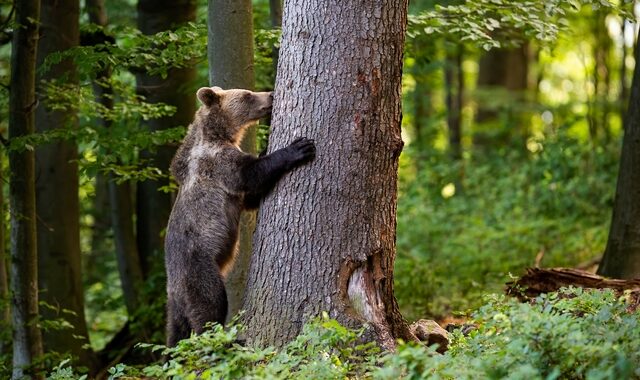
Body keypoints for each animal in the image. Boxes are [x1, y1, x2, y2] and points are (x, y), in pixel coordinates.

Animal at [165, 87, 316, 348]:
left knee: (177, 333)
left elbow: (252, 197)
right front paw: (299, 147)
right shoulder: (218, 164)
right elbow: (250, 174)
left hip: (175, 304)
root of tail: (174, 288)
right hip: (198, 270)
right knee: (210, 307)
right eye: (247, 95)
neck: (219, 134)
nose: (271, 94)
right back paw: (228, 342)